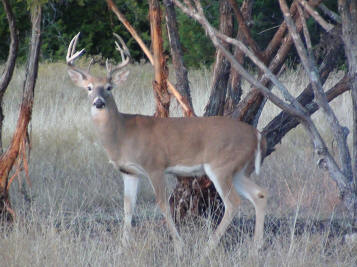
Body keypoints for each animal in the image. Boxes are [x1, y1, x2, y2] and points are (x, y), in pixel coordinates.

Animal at [66, 32, 268, 252]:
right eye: (89, 88)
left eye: (109, 88)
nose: (98, 102)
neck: (122, 134)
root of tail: (256, 134)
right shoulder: (129, 172)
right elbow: (128, 207)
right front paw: (123, 246)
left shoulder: (155, 165)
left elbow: (162, 204)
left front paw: (179, 245)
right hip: (238, 169)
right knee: (259, 194)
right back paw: (256, 246)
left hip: (221, 165)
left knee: (233, 203)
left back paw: (208, 247)